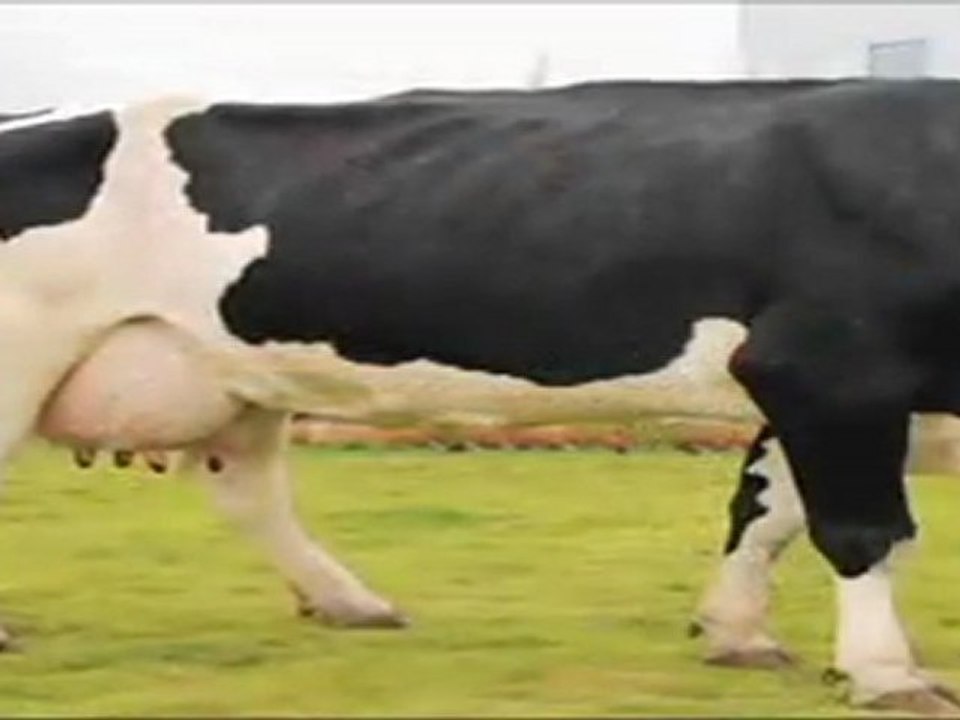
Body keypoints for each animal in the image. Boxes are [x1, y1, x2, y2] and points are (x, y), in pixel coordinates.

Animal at [2, 78, 960, 715]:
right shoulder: (827, 362)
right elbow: (862, 530)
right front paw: (887, 673)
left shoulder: (835, 389)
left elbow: (765, 511)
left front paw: (738, 633)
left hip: (234, 375)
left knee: (248, 490)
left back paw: (352, 602)